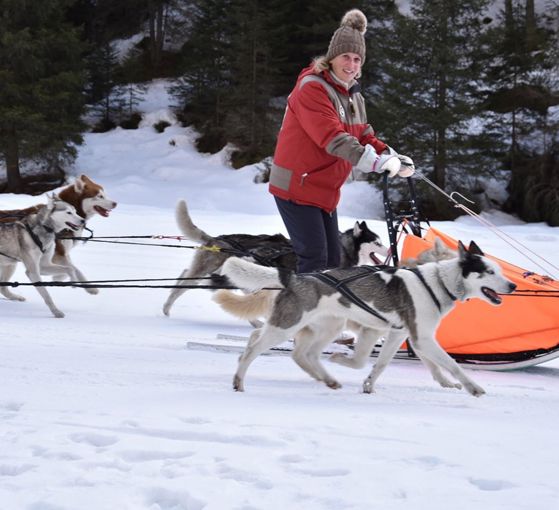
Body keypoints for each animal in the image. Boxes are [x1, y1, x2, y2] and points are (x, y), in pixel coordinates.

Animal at [162, 198, 390, 314]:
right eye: (378, 242)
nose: (389, 250)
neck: (344, 248)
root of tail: (217, 239)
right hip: (208, 271)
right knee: (183, 282)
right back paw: (167, 306)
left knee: (184, 276)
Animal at [222, 241, 516, 396]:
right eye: (489, 271)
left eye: (499, 271)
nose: (512, 286)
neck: (437, 282)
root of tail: (295, 277)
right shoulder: (419, 338)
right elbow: (452, 363)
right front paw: (472, 387)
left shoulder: (408, 336)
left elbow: (388, 364)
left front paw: (368, 384)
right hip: (286, 326)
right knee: (254, 347)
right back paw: (238, 379)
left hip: (327, 328)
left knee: (304, 354)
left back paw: (328, 377)